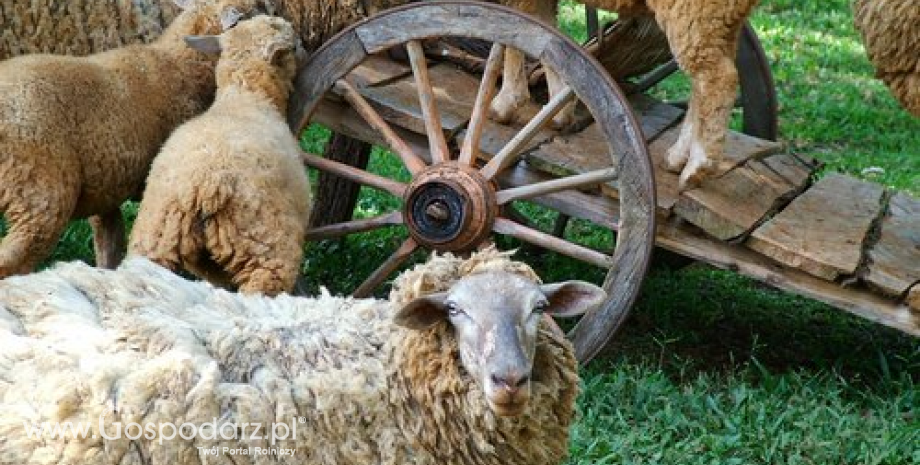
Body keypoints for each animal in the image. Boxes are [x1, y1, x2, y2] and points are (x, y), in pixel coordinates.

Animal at [126, 17, 312, 298]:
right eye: (294, 45)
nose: (306, 50)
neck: (246, 97)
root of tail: (204, 185)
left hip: (157, 237)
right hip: (263, 241)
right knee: (261, 285)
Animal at [492, 0, 760, 190]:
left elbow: (515, 28)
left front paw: (507, 101)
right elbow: (543, 32)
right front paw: (558, 110)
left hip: (696, 11)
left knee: (718, 77)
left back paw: (698, 167)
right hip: (722, 19)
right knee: (703, 82)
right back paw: (677, 157)